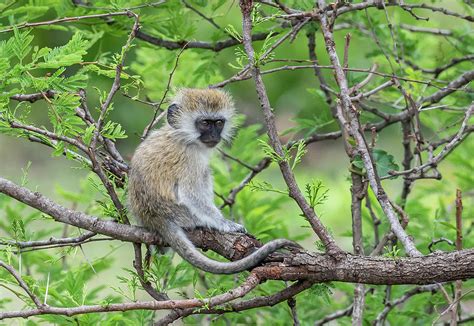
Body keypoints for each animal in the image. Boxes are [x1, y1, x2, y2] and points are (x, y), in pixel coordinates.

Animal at [129, 88, 296, 274]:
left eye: (218, 123)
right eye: (205, 123)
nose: (215, 135)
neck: (181, 136)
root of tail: (153, 216)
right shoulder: (190, 158)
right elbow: (189, 193)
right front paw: (225, 224)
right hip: (182, 214)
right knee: (204, 174)